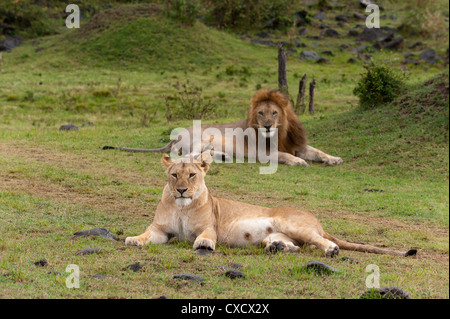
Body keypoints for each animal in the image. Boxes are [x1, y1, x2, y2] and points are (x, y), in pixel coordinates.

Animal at [105, 88, 342, 166]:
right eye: (260, 113)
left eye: (274, 112)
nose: (266, 126)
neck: (280, 132)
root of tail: (176, 136)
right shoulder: (263, 153)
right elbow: (284, 156)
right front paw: (298, 161)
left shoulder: (297, 144)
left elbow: (317, 151)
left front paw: (334, 159)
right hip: (202, 138)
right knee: (187, 157)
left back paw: (223, 156)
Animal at [125, 154, 416, 258]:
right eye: (175, 175)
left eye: (192, 175)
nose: (182, 189)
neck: (182, 206)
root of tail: (318, 221)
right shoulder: (161, 230)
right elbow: (147, 235)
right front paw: (133, 239)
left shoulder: (210, 226)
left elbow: (206, 235)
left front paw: (205, 244)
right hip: (279, 234)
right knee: (297, 247)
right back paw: (277, 248)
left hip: (290, 223)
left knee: (321, 242)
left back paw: (331, 250)